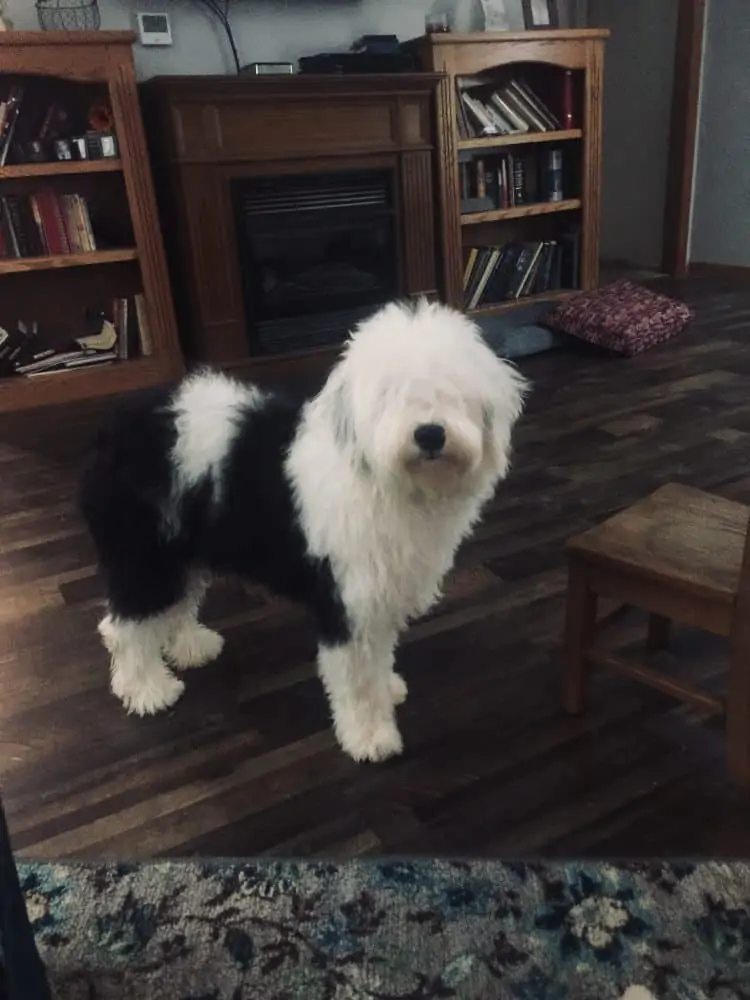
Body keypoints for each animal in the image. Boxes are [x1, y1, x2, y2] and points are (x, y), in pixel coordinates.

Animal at [81, 300, 528, 760]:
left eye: (453, 390)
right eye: (389, 395)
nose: (430, 434)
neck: (381, 479)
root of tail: (115, 427)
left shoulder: (378, 597)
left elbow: (379, 658)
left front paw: (388, 687)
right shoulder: (346, 603)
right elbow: (358, 681)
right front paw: (370, 736)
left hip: (183, 549)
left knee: (172, 606)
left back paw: (190, 646)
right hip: (144, 555)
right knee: (123, 626)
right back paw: (147, 689)